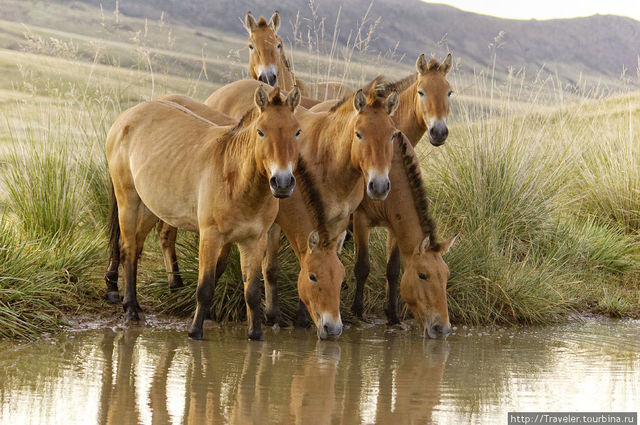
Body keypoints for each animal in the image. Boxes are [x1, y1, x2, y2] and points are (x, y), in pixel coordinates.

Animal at [106, 88, 302, 340]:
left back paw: (134, 304)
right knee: (128, 249)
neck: (236, 181)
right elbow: (206, 287)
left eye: (297, 131)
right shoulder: (210, 236)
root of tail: (127, 116)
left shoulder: (254, 241)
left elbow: (252, 291)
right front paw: (195, 331)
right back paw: (130, 308)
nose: (283, 182)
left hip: (149, 206)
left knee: (135, 247)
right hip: (128, 200)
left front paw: (256, 334)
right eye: (261, 131)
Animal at [205, 78, 400, 332]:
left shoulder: (336, 224)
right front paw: (288, 316)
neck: (330, 162)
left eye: (393, 135)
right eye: (359, 134)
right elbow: (277, 268)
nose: (379, 186)